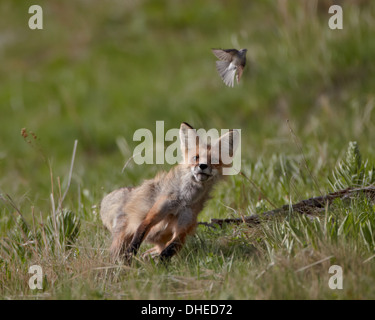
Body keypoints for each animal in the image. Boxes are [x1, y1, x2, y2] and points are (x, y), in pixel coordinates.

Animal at [100, 122, 241, 262]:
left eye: (214, 160)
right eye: (196, 157)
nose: (202, 166)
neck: (185, 199)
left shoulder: (184, 227)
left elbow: (170, 249)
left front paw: (161, 264)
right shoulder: (155, 213)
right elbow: (140, 232)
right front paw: (131, 254)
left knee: (156, 250)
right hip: (122, 238)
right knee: (118, 252)